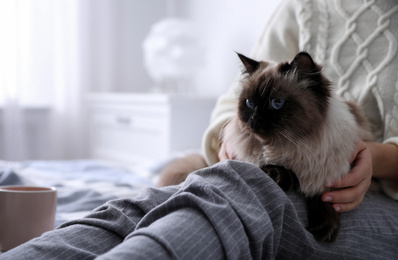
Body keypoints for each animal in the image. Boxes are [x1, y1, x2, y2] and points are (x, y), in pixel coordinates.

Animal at [158, 51, 374, 243]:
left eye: (276, 103)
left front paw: (325, 229)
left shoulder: (329, 172)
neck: (292, 147)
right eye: (249, 103)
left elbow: (325, 197)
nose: (254, 119)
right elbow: (285, 173)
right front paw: (280, 175)